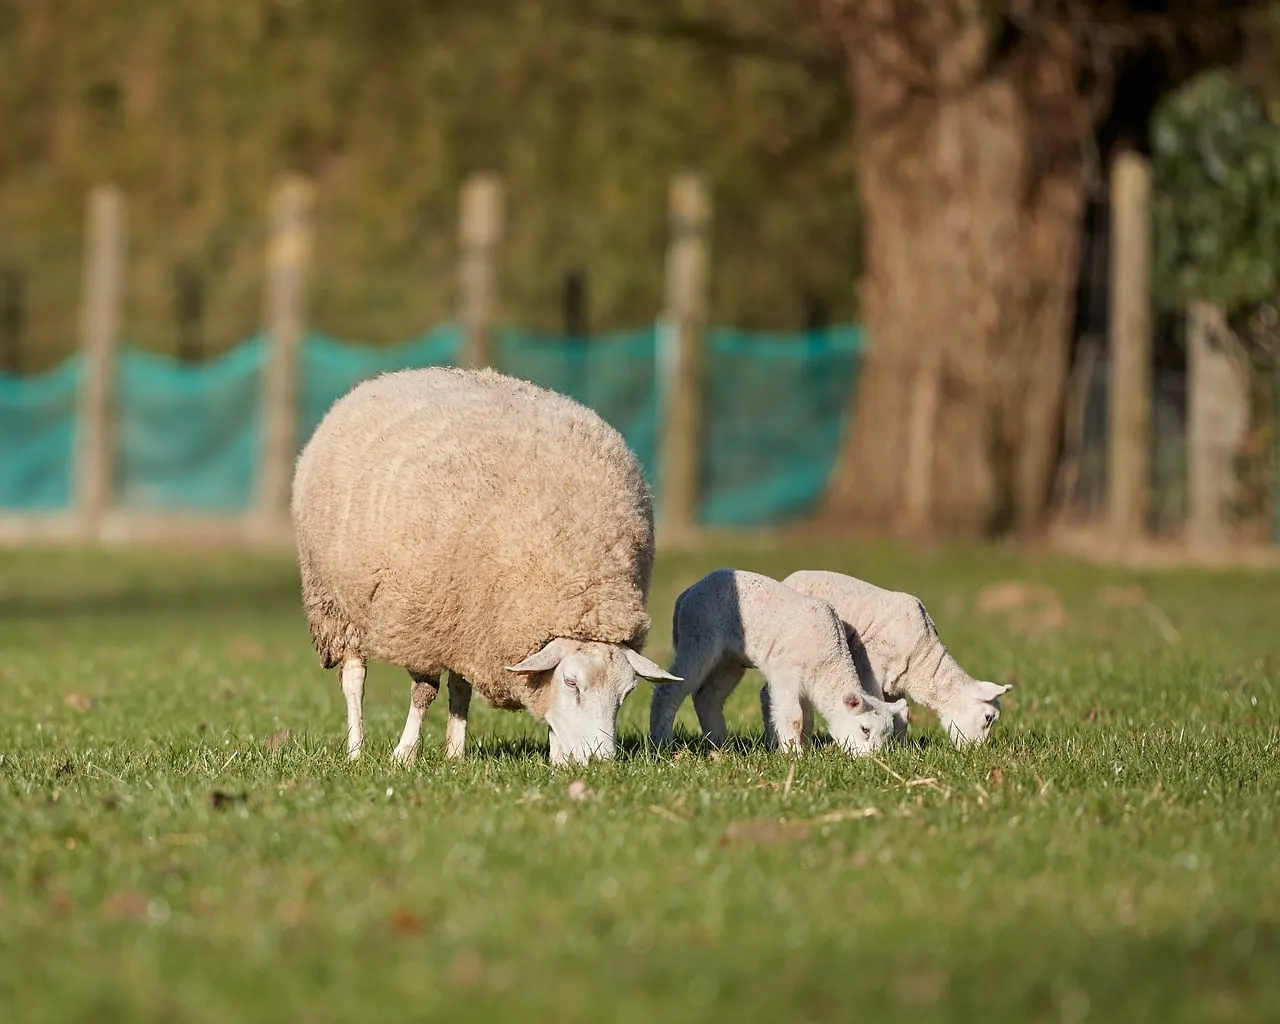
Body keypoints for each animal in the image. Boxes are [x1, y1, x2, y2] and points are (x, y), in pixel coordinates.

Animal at [290, 365, 680, 767]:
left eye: (627, 692)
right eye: (571, 683)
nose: (600, 761)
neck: (582, 579)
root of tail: (390, 376)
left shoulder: (469, 625)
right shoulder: (422, 624)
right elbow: (423, 692)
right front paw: (404, 754)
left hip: (462, 625)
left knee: (459, 684)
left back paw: (454, 752)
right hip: (339, 605)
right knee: (355, 678)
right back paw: (356, 749)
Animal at [649, 569, 908, 755]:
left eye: (887, 735)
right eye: (865, 729)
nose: (871, 760)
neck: (829, 661)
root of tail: (688, 592)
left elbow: (807, 717)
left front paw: (796, 747)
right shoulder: (786, 673)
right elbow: (794, 717)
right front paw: (794, 755)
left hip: (729, 660)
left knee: (707, 697)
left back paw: (721, 745)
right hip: (699, 637)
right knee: (668, 690)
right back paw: (662, 744)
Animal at [781, 570, 1010, 747]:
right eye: (988, 718)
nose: (976, 751)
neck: (923, 662)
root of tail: (789, 579)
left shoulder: (895, 681)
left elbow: (902, 713)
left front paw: (901, 746)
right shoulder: (871, 672)